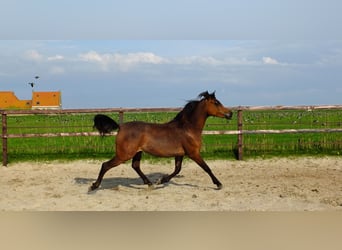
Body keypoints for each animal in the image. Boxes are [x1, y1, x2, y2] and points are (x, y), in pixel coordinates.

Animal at [89, 92, 232, 191]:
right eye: (216, 103)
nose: (230, 114)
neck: (188, 128)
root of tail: (121, 127)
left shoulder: (180, 154)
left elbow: (177, 169)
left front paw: (162, 180)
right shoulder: (193, 153)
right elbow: (207, 168)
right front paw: (219, 184)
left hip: (137, 153)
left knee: (135, 166)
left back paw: (150, 183)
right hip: (124, 155)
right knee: (105, 165)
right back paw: (94, 186)